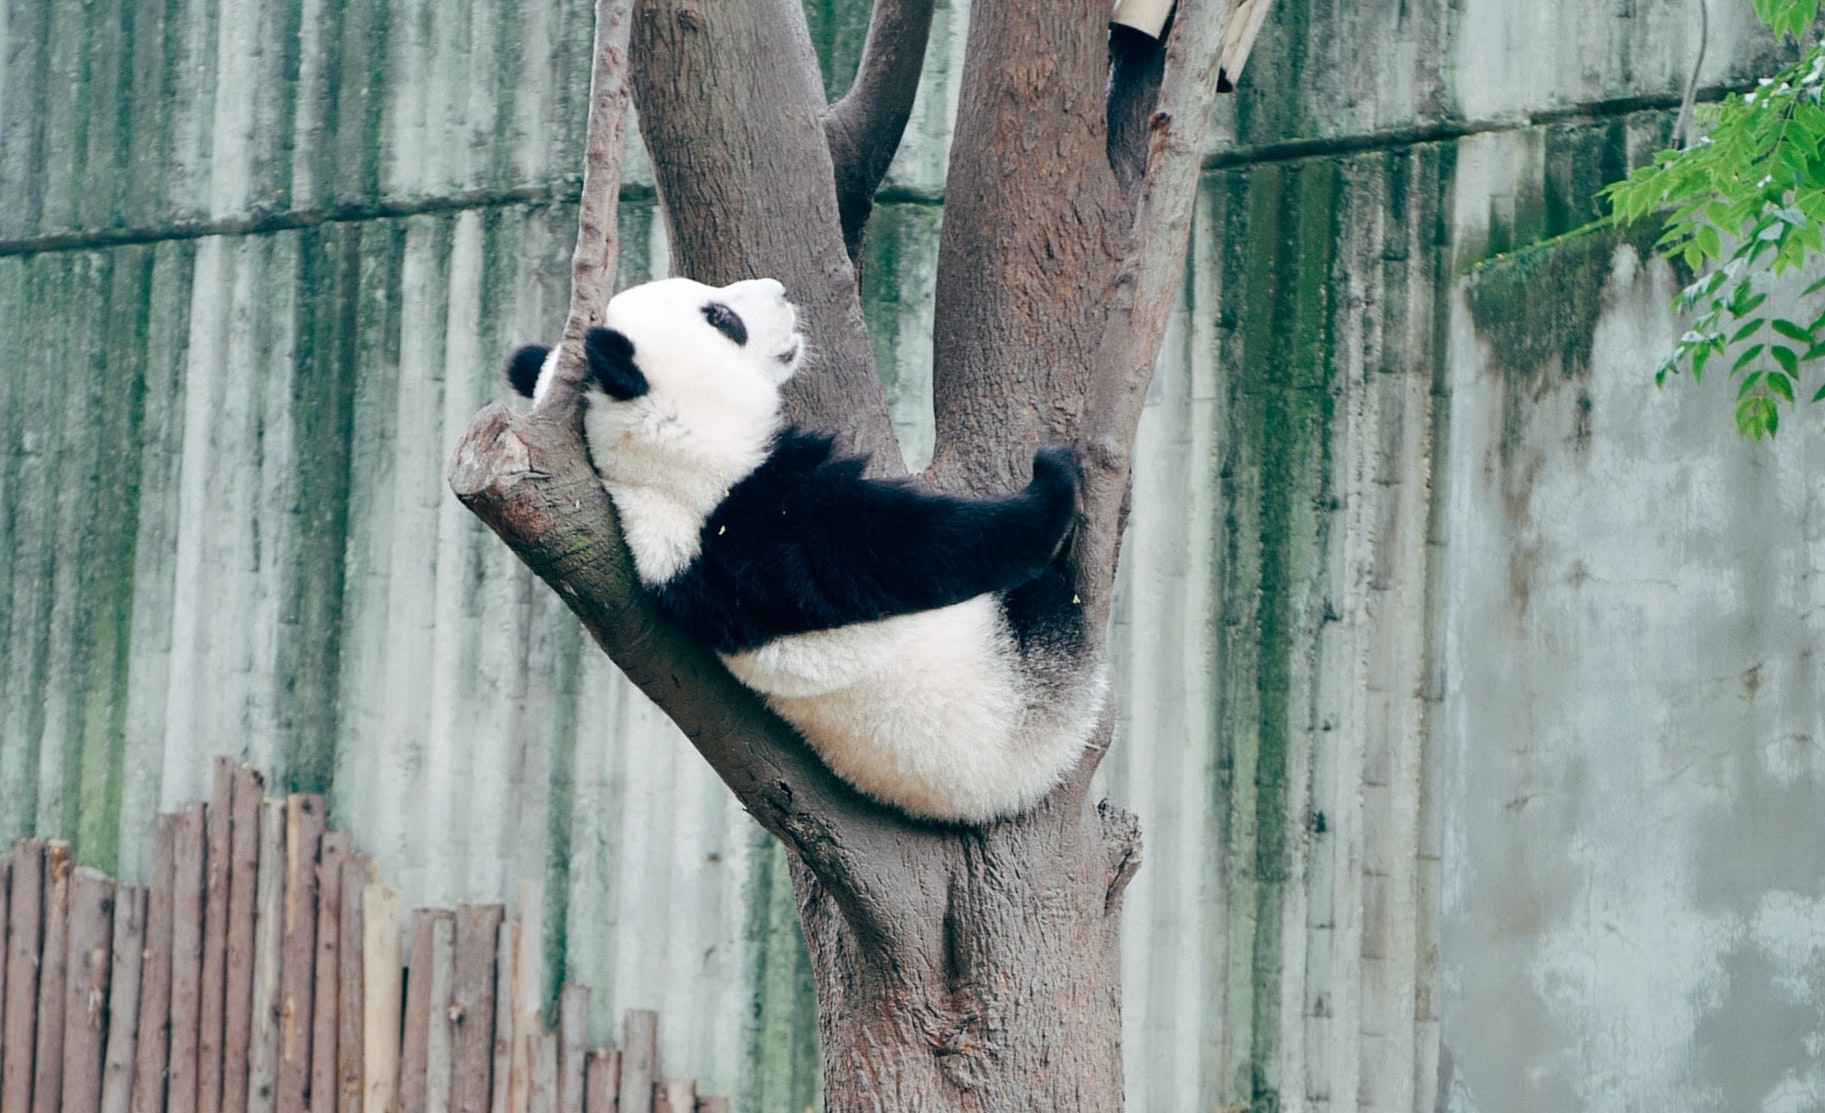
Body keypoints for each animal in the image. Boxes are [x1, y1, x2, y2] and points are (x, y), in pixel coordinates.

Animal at [506, 276, 1107, 822]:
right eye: (721, 318)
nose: (780, 290)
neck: (657, 458)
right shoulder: (757, 522)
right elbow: (912, 549)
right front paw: (1051, 483)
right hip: (1020, 686)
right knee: (1047, 612)